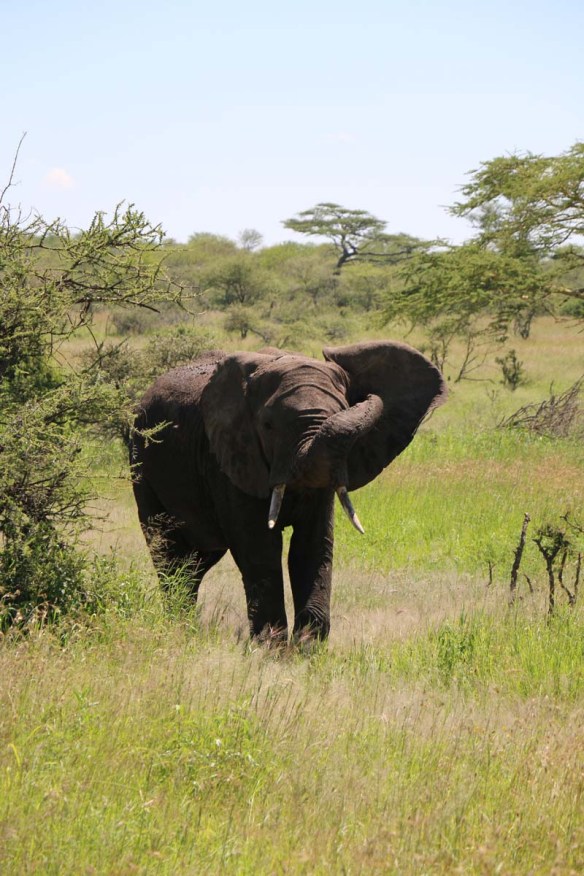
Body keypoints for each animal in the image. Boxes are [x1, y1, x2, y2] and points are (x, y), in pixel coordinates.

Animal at [130, 341, 446, 642]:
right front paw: (272, 649)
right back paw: (180, 629)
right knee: (168, 551)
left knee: (195, 564)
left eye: (342, 410)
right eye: (268, 426)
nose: (369, 396)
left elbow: (312, 546)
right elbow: (260, 548)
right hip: (141, 464)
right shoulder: (228, 459)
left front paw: (308, 649)